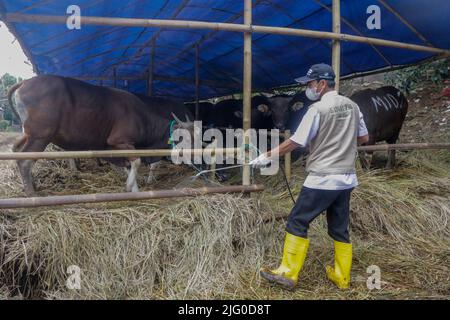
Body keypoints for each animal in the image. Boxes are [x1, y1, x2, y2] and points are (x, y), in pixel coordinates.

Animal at [7, 75, 193, 195]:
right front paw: (130, 187)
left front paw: (134, 189)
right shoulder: (121, 142)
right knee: (24, 160)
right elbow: (137, 162)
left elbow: (129, 166)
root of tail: (25, 82)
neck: (142, 117)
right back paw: (32, 193)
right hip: (41, 135)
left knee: (16, 149)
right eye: (186, 137)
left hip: (29, 134)